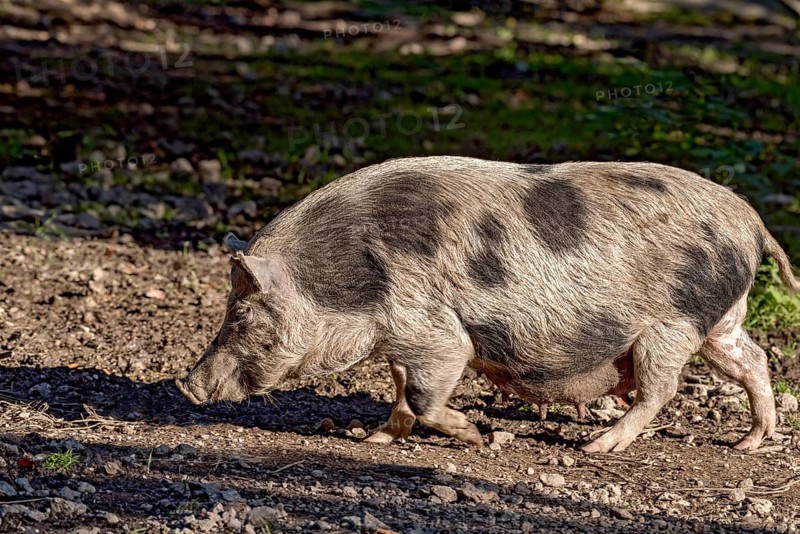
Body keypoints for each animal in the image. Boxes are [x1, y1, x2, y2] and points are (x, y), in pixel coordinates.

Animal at [176, 156, 799, 453]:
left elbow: (426, 393)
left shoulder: (434, 330)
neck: (349, 284)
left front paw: (478, 438)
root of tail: (752, 221)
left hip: (671, 325)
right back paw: (749, 443)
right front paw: (373, 439)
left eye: (242, 314)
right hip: (719, 319)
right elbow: (400, 391)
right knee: (754, 359)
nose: (186, 384)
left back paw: (597, 446)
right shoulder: (401, 339)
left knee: (661, 389)